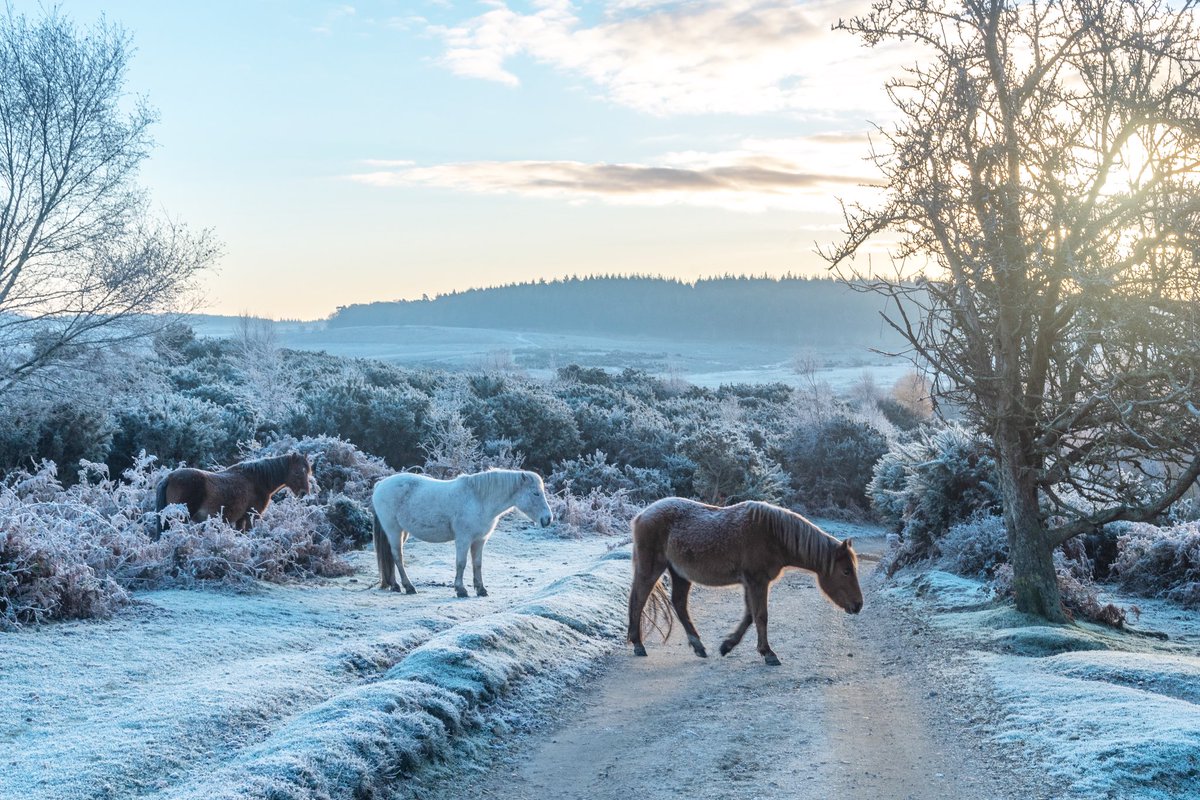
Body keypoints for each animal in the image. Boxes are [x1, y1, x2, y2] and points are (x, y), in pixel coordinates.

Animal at [152, 450, 312, 537]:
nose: (304, 493)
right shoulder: (252, 516)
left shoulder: (241, 519)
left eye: (308, 472)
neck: (257, 481)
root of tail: (169, 477)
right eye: (297, 473)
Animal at [369, 470, 552, 594]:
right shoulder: (463, 539)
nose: (547, 519)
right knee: (397, 557)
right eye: (535, 493)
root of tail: (380, 485)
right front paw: (461, 590)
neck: (479, 499)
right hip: (393, 530)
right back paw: (408, 587)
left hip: (402, 532)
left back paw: (394, 585)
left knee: (391, 557)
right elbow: (461, 563)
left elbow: (477, 564)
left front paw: (481, 589)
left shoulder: (479, 540)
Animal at [628, 496, 864, 666]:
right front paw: (768, 653)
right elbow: (761, 616)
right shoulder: (757, 581)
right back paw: (638, 644)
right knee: (639, 600)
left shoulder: (751, 583)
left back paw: (698, 646)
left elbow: (750, 615)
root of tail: (642, 515)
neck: (773, 535)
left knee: (678, 604)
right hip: (651, 569)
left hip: (679, 574)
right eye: (846, 571)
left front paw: (727, 646)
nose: (858, 605)